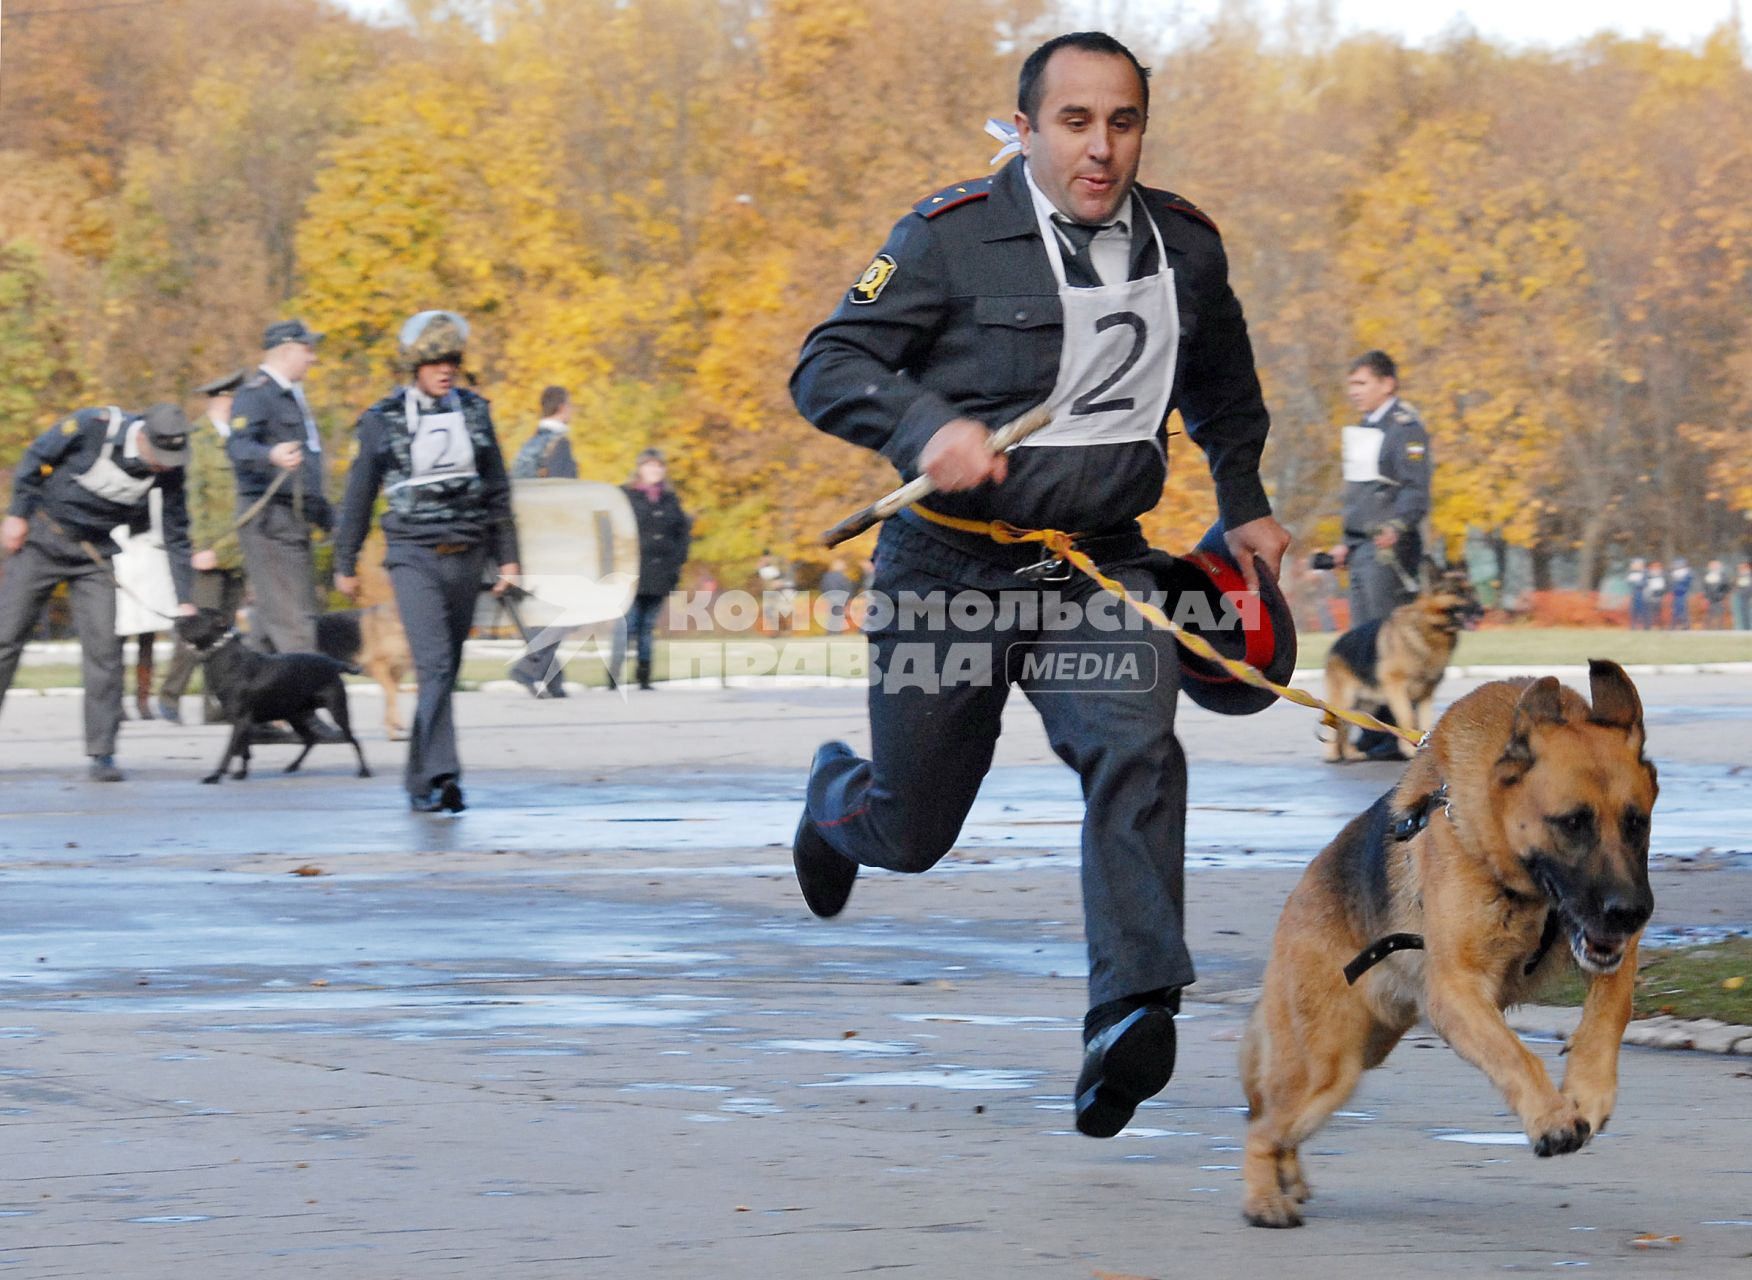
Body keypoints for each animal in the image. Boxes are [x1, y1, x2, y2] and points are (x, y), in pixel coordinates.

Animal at [176, 609, 371, 780]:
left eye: (196, 618)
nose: (176, 620)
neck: (224, 656)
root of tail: (336, 664)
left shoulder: (240, 719)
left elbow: (230, 750)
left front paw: (215, 776)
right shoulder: (241, 721)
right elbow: (244, 749)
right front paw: (241, 773)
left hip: (336, 711)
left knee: (353, 740)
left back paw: (364, 771)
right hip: (296, 715)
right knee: (311, 739)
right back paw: (293, 765)